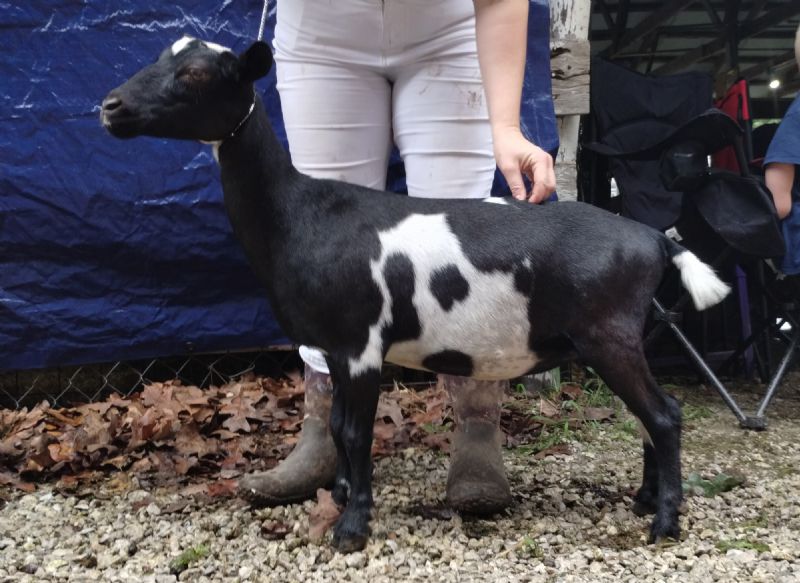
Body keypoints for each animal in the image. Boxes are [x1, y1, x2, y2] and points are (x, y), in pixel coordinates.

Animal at [101, 38, 730, 553]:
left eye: (197, 73)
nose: (110, 107)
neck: (301, 213)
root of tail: (652, 238)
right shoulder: (334, 348)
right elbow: (335, 427)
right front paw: (341, 495)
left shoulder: (360, 344)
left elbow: (356, 432)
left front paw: (351, 530)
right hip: (626, 338)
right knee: (648, 417)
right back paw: (644, 501)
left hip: (610, 335)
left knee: (664, 416)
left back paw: (664, 524)